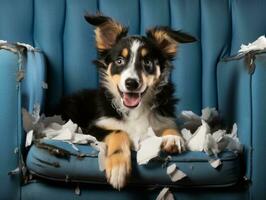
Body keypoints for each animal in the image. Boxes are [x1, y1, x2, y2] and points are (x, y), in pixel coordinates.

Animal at [59, 13, 196, 189]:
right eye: (119, 61)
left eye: (147, 62)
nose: (132, 83)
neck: (135, 110)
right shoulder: (92, 128)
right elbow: (119, 131)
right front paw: (118, 168)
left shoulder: (164, 118)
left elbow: (171, 126)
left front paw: (173, 137)